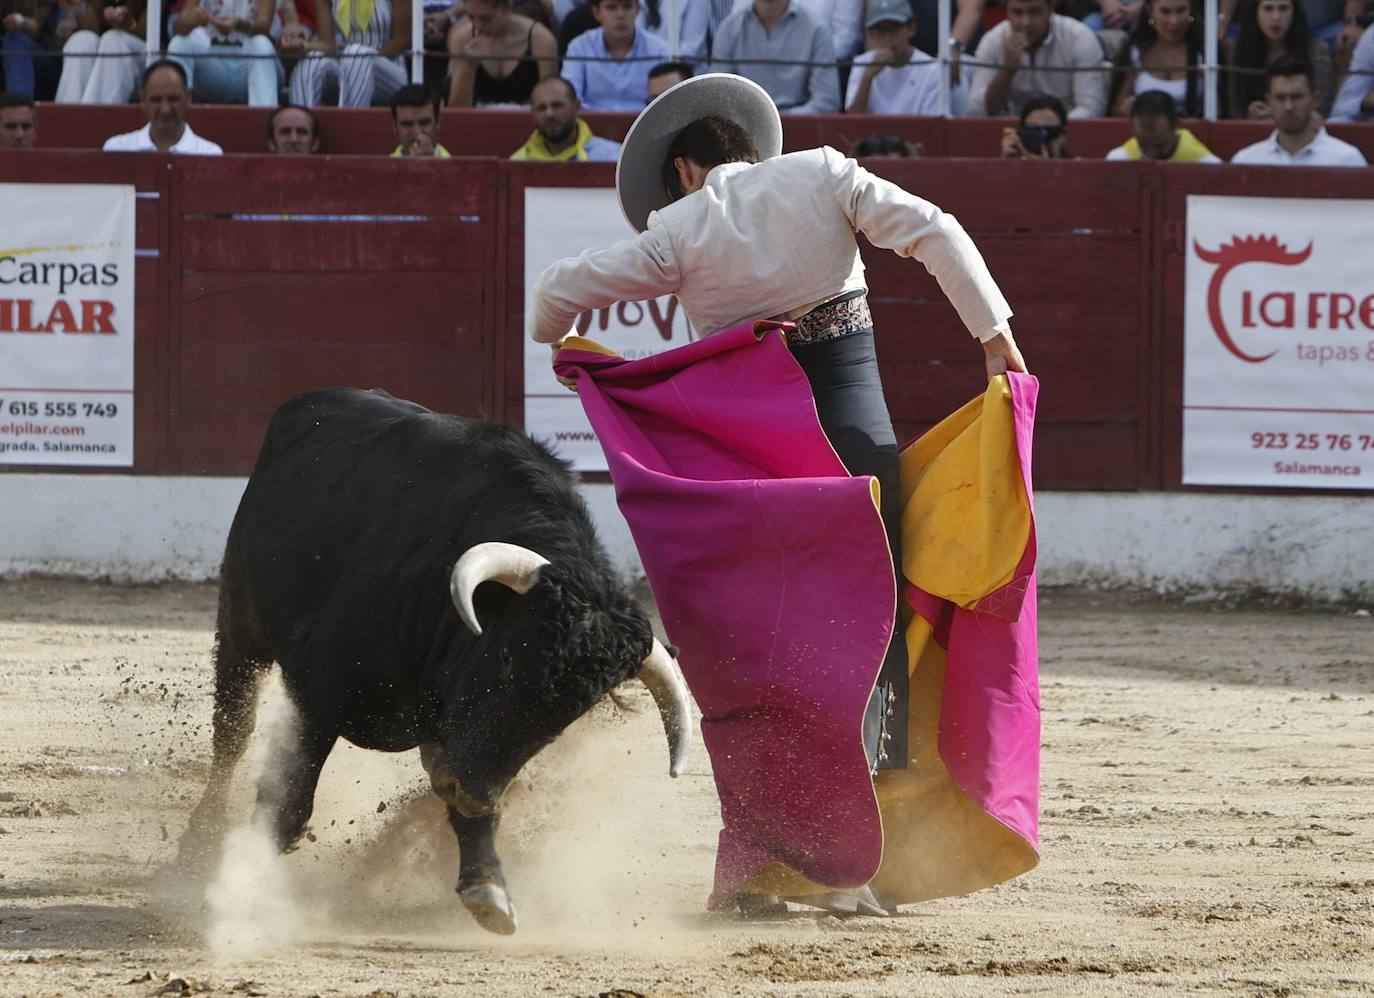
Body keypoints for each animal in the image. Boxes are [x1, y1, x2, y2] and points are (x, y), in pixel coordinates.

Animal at [178, 387, 692, 940]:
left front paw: (488, 888)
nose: (473, 793)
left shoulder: (460, 741)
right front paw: (239, 890)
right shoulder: (317, 696)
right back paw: (198, 842)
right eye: (507, 657)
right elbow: (291, 802)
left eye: (570, 716)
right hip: (240, 623)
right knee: (233, 731)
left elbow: (469, 804)